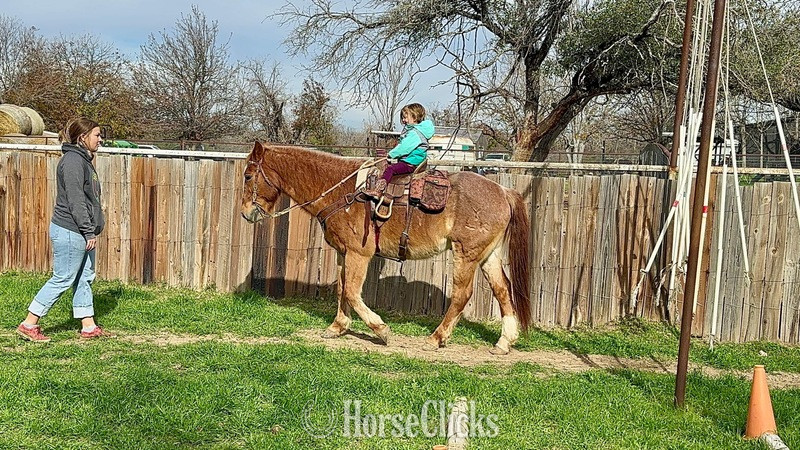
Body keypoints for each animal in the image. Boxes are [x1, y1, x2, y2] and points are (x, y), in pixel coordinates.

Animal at [240, 142, 530, 355]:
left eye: (248, 175)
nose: (246, 214)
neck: (342, 190)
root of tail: (504, 192)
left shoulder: (359, 254)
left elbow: (353, 292)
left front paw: (381, 329)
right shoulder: (343, 252)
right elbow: (342, 289)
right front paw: (337, 327)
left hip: (466, 254)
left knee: (462, 294)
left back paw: (436, 338)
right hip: (488, 255)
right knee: (502, 290)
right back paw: (503, 342)